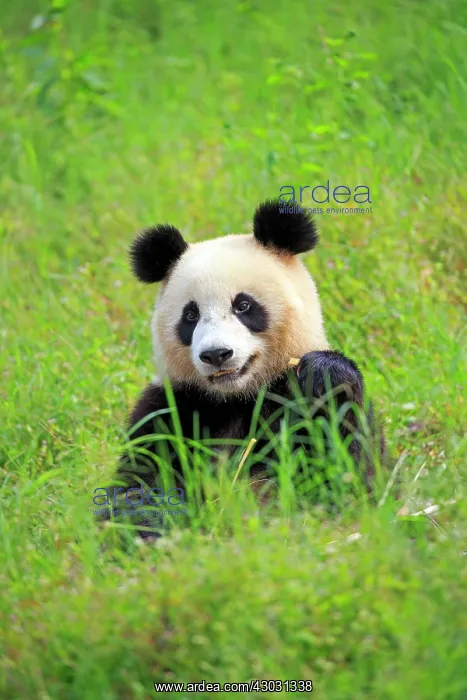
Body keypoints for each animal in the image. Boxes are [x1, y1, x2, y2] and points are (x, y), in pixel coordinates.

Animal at [105, 200, 385, 535]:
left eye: (243, 305)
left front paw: (326, 377)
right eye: (190, 315)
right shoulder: (170, 409)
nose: (216, 354)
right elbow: (140, 481)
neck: (237, 398)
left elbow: (350, 479)